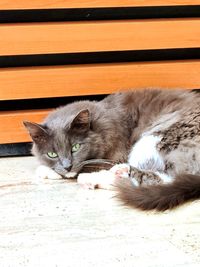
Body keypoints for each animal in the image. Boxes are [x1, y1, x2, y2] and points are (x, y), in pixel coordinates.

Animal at [23, 89, 200, 211]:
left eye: (75, 147)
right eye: (52, 154)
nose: (67, 166)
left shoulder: (115, 154)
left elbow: (85, 166)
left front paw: (48, 171)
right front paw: (50, 169)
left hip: (156, 137)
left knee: (163, 177)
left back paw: (96, 177)